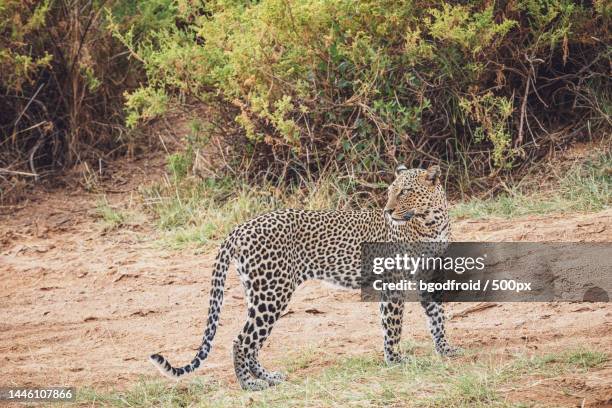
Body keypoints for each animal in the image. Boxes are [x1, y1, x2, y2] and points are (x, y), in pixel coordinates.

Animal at [152, 164, 460, 390]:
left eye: (405, 192)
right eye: (390, 192)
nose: (388, 210)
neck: (431, 223)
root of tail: (240, 227)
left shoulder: (428, 278)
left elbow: (437, 317)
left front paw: (445, 349)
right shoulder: (394, 282)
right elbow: (393, 326)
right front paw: (395, 360)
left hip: (259, 292)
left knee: (252, 344)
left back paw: (268, 377)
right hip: (272, 293)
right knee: (242, 341)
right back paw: (250, 385)